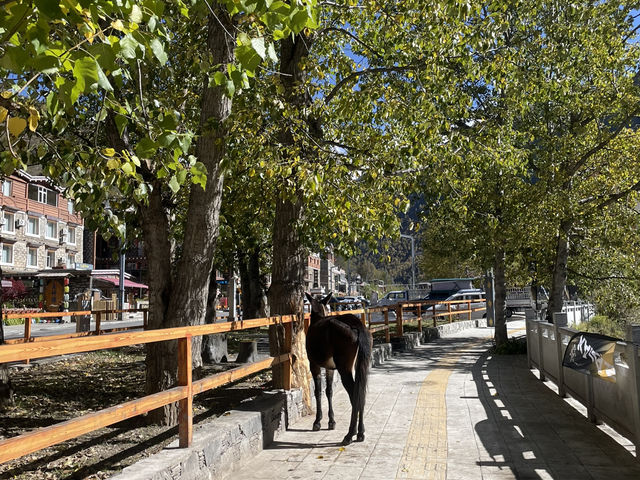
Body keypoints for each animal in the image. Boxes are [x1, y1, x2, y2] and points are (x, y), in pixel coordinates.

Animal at [306, 292, 372, 446]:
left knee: (355, 394)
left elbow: (318, 391)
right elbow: (329, 391)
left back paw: (350, 434)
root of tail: (356, 323)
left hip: (344, 368)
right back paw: (360, 432)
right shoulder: (330, 368)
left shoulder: (314, 365)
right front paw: (331, 421)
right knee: (361, 393)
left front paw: (317, 421)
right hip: (359, 364)